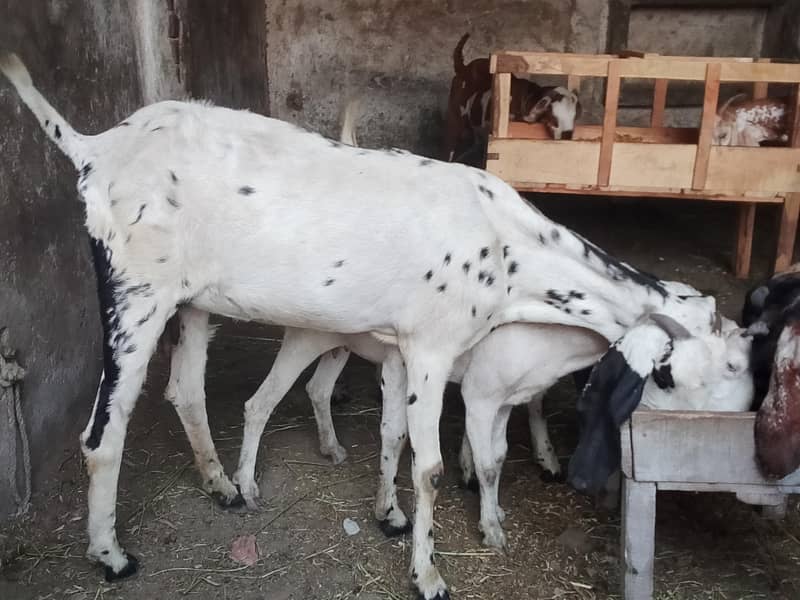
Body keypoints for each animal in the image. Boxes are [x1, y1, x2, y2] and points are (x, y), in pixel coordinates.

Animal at [1, 53, 720, 598]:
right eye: (669, 376)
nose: (694, 469)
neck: (505, 243)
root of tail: (97, 147)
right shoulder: (431, 346)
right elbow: (430, 465)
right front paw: (428, 576)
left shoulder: (403, 346)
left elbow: (397, 438)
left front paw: (390, 516)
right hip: (135, 294)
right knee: (104, 432)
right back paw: (111, 555)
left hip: (193, 301)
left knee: (186, 390)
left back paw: (223, 486)